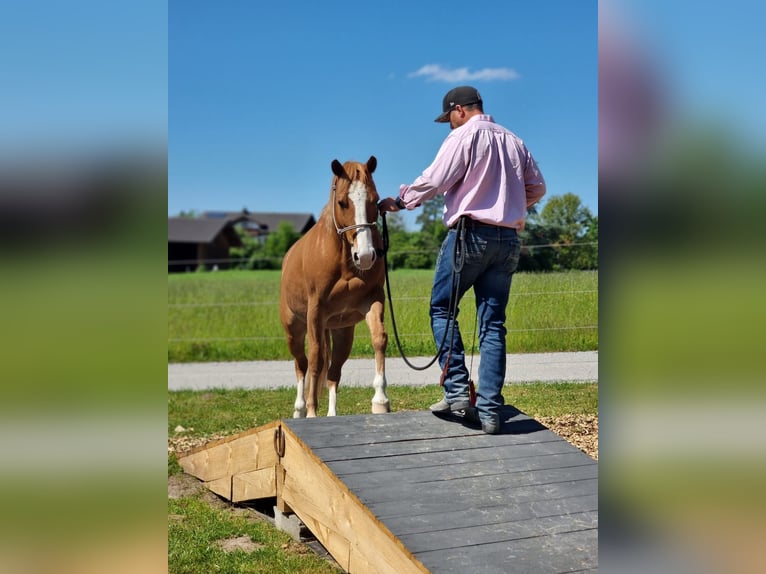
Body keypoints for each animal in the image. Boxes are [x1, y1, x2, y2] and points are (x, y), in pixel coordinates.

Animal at [279, 156, 390, 418]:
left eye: (375, 199)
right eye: (342, 202)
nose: (366, 256)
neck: (344, 261)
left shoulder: (372, 300)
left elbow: (379, 338)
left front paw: (380, 399)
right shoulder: (315, 311)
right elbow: (315, 358)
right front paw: (311, 412)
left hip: (341, 332)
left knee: (333, 372)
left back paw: (331, 414)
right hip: (294, 330)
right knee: (301, 365)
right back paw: (300, 409)